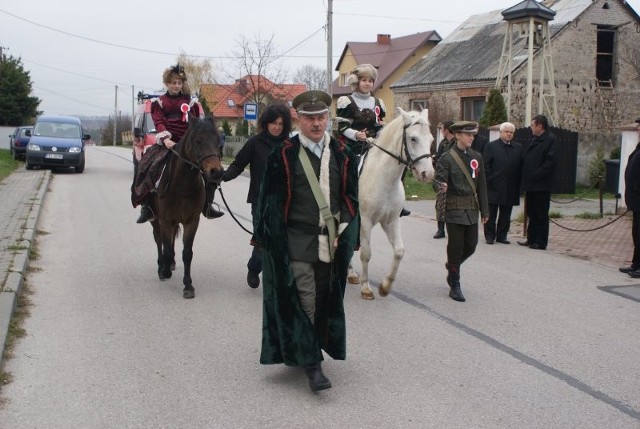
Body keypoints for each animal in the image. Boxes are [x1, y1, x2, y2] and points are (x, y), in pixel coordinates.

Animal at [149, 115, 224, 300]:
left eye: (218, 140)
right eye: (198, 141)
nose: (216, 172)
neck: (183, 186)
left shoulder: (192, 221)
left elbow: (187, 253)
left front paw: (188, 286)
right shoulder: (165, 220)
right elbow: (167, 249)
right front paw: (165, 270)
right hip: (155, 220)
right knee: (159, 241)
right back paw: (162, 266)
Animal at [350, 107, 436, 300]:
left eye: (431, 139)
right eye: (413, 138)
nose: (427, 174)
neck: (384, 180)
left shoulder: (391, 221)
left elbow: (399, 251)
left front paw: (385, 286)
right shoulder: (365, 221)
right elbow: (366, 253)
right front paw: (366, 287)